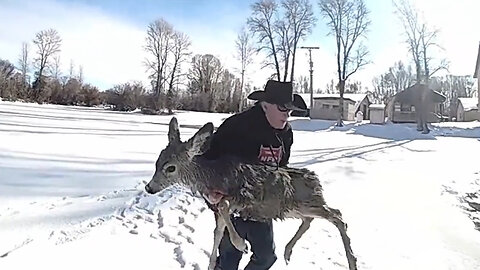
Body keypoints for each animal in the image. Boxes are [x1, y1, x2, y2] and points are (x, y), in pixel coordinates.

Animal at [144, 117, 358, 270]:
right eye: (156, 163)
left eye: (170, 168)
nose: (149, 188)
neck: (212, 176)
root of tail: (315, 179)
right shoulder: (220, 203)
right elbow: (218, 231)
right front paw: (211, 263)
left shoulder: (242, 196)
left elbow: (224, 211)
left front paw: (241, 244)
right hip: (295, 208)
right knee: (311, 219)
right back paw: (288, 251)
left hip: (308, 202)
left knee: (337, 215)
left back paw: (352, 261)